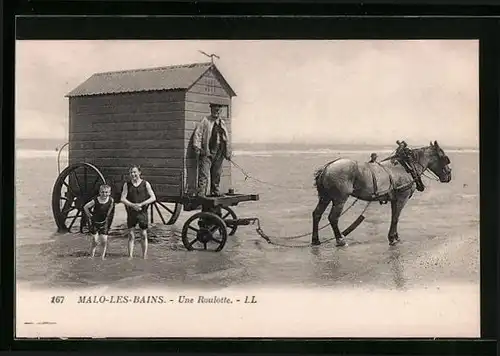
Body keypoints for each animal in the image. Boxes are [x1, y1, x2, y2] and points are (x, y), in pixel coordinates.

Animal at [310, 140, 452, 246]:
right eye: (444, 158)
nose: (448, 175)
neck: (407, 166)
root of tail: (326, 167)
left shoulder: (394, 199)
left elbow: (395, 217)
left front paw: (395, 236)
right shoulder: (402, 198)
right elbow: (395, 218)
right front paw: (392, 238)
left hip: (325, 197)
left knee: (317, 214)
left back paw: (315, 240)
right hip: (339, 199)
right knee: (333, 218)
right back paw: (340, 240)